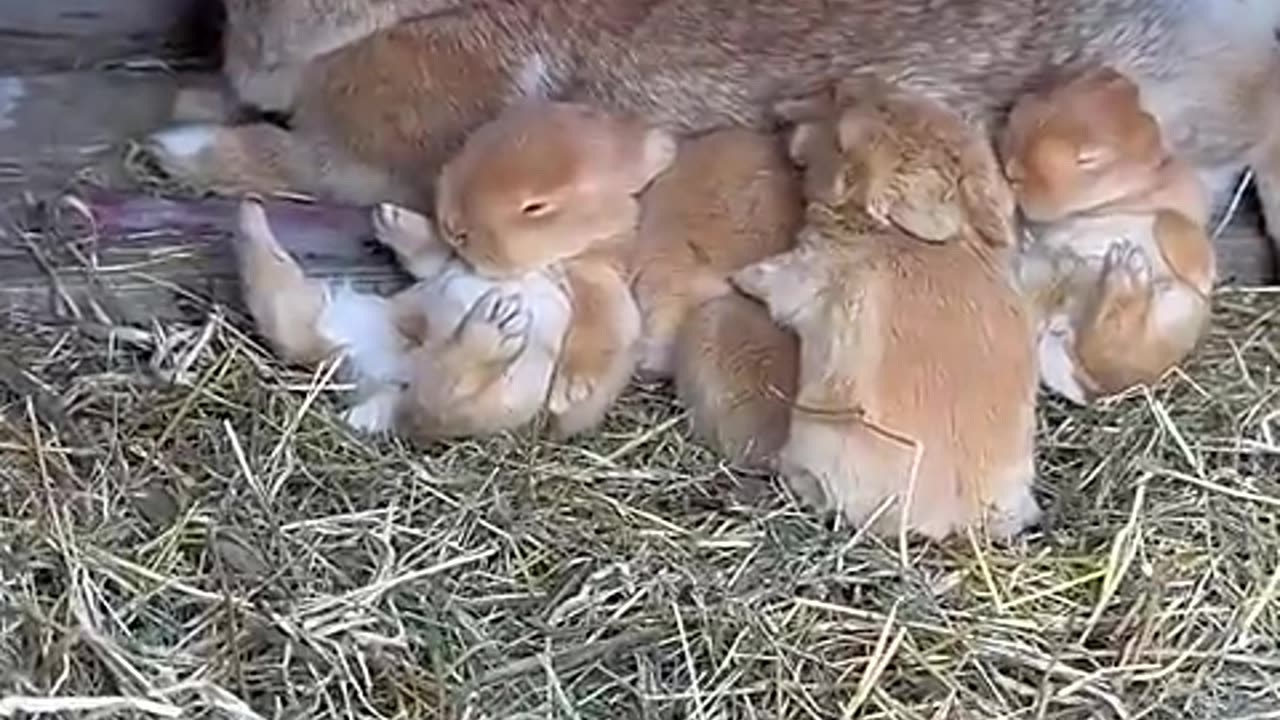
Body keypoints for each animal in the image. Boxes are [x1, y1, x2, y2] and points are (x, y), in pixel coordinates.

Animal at [998, 67, 1218, 404]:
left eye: (1088, 159)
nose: (1012, 170)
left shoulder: (1180, 211)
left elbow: (1171, 222)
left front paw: (1202, 275)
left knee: (1114, 358)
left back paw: (1126, 274)